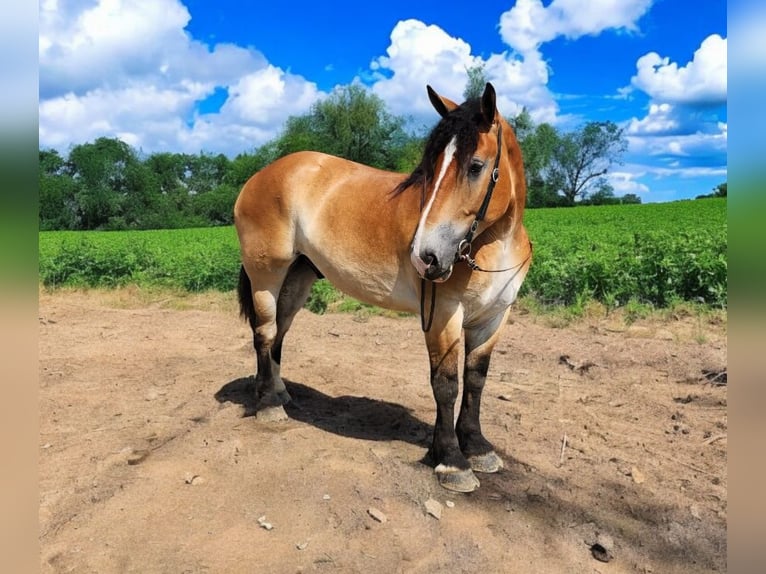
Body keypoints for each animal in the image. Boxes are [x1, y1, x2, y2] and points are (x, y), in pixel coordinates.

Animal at [236, 82, 536, 496]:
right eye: (430, 168)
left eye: (475, 166)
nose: (426, 256)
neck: (492, 242)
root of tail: (259, 177)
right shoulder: (443, 315)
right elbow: (446, 384)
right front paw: (452, 461)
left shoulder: (494, 317)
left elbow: (476, 380)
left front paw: (477, 447)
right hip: (266, 275)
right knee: (264, 334)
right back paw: (268, 406)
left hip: (298, 278)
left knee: (280, 333)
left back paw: (279, 392)